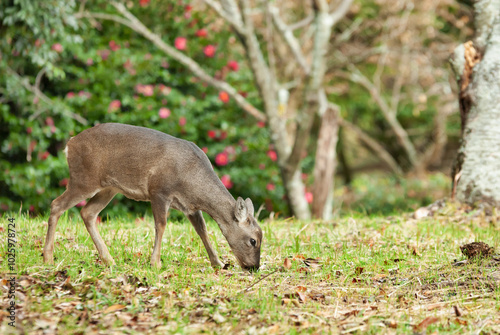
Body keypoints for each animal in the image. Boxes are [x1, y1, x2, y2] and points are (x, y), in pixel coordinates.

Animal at [42, 122, 262, 270]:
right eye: (253, 241)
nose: (254, 267)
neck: (192, 180)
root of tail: (70, 144)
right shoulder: (159, 191)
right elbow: (161, 225)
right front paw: (155, 262)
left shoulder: (189, 206)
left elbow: (202, 230)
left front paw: (218, 262)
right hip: (84, 179)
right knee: (56, 204)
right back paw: (48, 258)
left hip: (108, 188)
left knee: (87, 213)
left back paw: (108, 259)